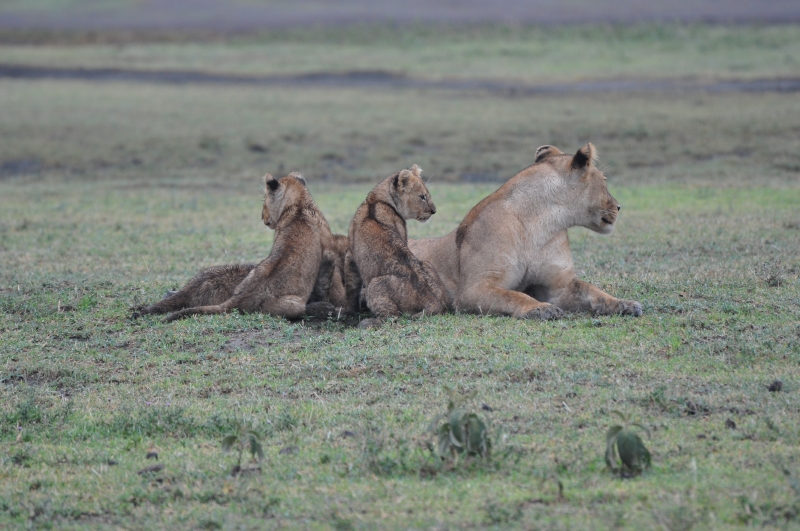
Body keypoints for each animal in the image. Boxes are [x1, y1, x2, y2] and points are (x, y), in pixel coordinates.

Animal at [140, 172, 345, 322]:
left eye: (263, 200)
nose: (262, 217)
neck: (298, 204)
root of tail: (239, 298)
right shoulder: (327, 250)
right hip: (293, 303)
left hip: (250, 273)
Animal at [349, 164, 448, 328]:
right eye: (422, 197)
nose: (434, 211)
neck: (376, 200)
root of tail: (432, 300)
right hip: (427, 264)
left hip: (375, 284)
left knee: (392, 317)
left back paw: (368, 322)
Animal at [409, 144, 642, 319]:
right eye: (604, 181)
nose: (619, 206)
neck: (541, 225)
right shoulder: (472, 290)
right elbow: (512, 296)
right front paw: (540, 308)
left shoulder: (557, 286)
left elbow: (591, 289)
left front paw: (624, 304)